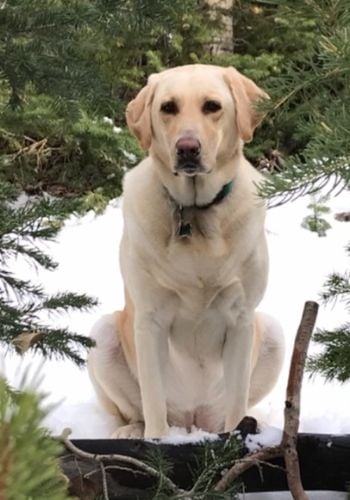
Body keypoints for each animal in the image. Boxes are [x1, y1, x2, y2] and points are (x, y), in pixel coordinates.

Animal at [88, 65, 284, 438]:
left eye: (212, 106)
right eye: (168, 107)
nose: (188, 148)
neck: (196, 214)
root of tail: (194, 422)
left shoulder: (242, 318)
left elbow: (237, 401)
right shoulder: (149, 320)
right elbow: (153, 403)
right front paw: (156, 442)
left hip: (273, 333)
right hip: (101, 335)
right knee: (136, 412)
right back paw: (131, 431)